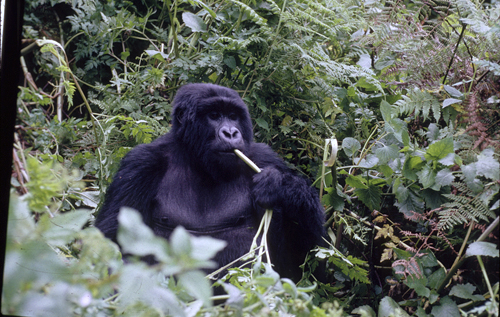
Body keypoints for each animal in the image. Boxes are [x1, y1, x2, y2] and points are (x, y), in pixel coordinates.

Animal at [95, 82, 326, 278]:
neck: (196, 160)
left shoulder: (265, 158)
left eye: (233, 116)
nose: (231, 132)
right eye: (214, 115)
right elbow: (111, 241)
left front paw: (281, 188)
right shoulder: (139, 165)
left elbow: (307, 256)